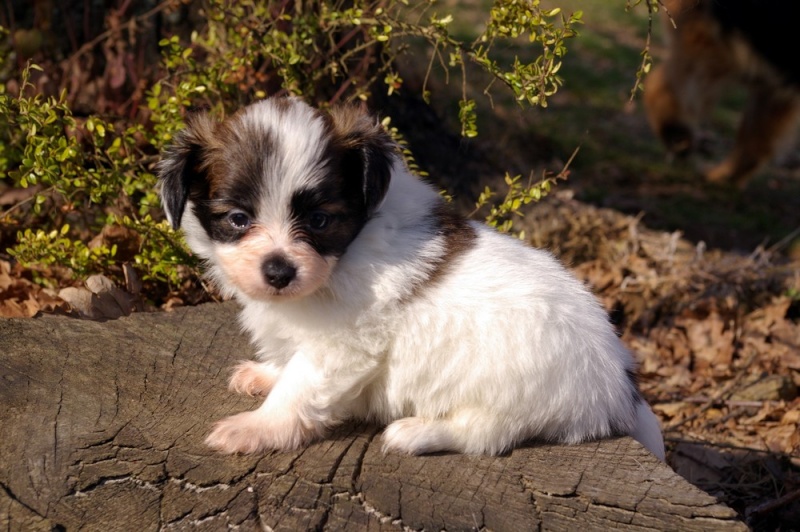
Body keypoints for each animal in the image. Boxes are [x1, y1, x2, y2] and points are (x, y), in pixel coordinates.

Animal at [156, 97, 664, 460]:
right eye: (238, 219)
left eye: (320, 220)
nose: (279, 271)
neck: (349, 248)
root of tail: (621, 385)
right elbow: (288, 362)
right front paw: (266, 374)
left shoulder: (342, 346)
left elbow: (299, 389)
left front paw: (257, 427)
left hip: (514, 388)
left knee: (487, 435)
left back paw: (416, 433)